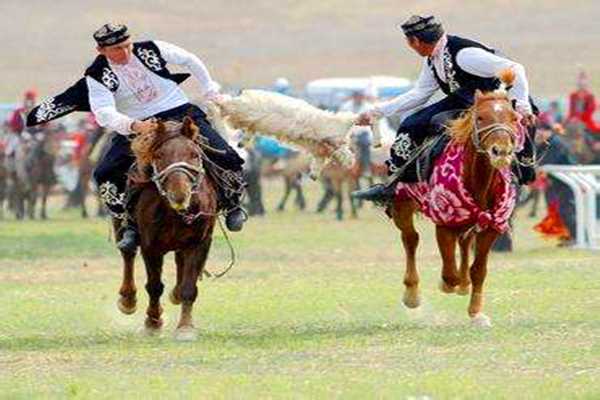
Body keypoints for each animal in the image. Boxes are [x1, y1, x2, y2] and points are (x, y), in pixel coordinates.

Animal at [115, 118, 218, 340]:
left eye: (194, 154)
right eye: (160, 155)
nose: (179, 195)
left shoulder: (199, 242)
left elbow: (189, 287)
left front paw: (185, 327)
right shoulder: (150, 246)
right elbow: (154, 286)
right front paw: (153, 322)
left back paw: (176, 294)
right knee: (128, 254)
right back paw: (128, 300)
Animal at [392, 70, 524, 326]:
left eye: (514, 118)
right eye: (480, 117)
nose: (500, 151)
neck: (478, 182)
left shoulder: (491, 225)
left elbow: (478, 270)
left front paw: (476, 312)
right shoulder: (444, 224)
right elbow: (448, 273)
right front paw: (447, 285)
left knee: (463, 243)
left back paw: (463, 285)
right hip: (402, 205)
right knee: (410, 239)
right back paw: (412, 294)